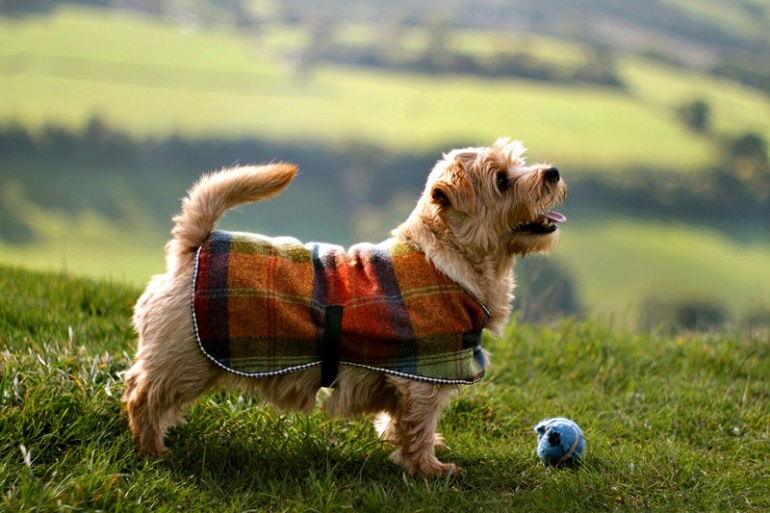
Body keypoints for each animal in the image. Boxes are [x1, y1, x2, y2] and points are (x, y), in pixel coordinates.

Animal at [120, 136, 564, 476]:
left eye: (518, 164)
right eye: (502, 180)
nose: (554, 171)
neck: (446, 260)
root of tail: (196, 247)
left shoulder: (404, 377)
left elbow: (400, 422)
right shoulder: (424, 377)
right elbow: (419, 426)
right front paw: (430, 470)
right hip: (186, 362)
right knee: (141, 393)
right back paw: (151, 449)